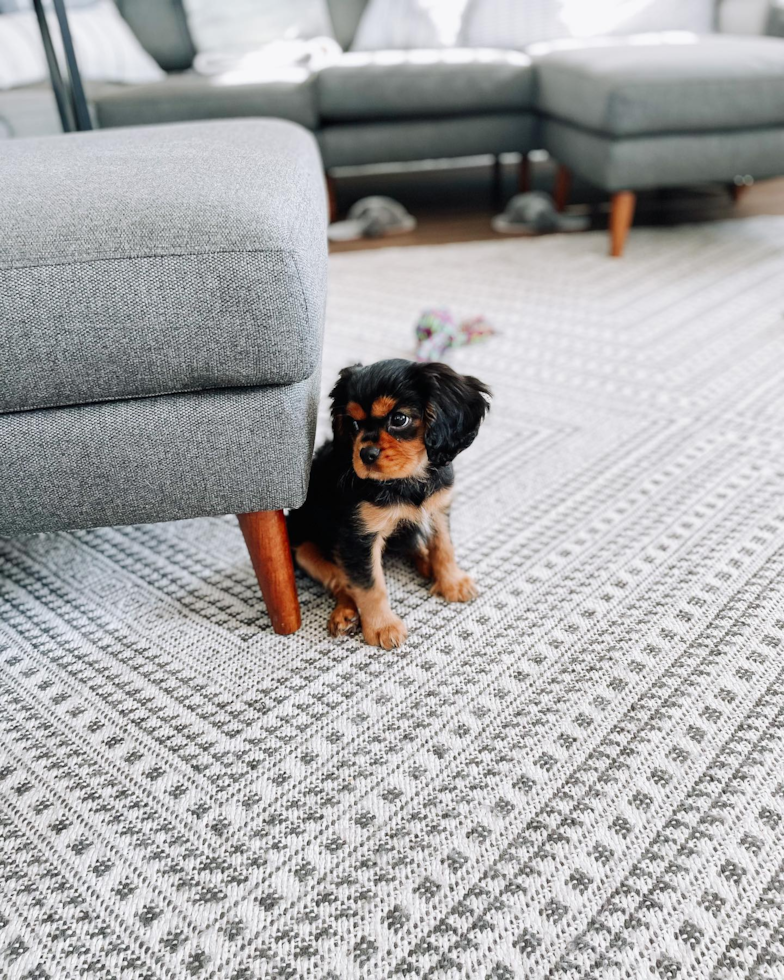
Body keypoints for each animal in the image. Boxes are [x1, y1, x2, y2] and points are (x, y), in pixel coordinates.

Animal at [284, 356, 494, 648]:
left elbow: (443, 547)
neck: (406, 480)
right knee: (341, 581)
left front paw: (452, 582)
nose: (365, 454)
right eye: (353, 424)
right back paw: (344, 614)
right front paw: (382, 627)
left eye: (399, 419)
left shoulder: (438, 510)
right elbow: (370, 585)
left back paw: (427, 565)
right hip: (304, 549)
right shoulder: (358, 537)